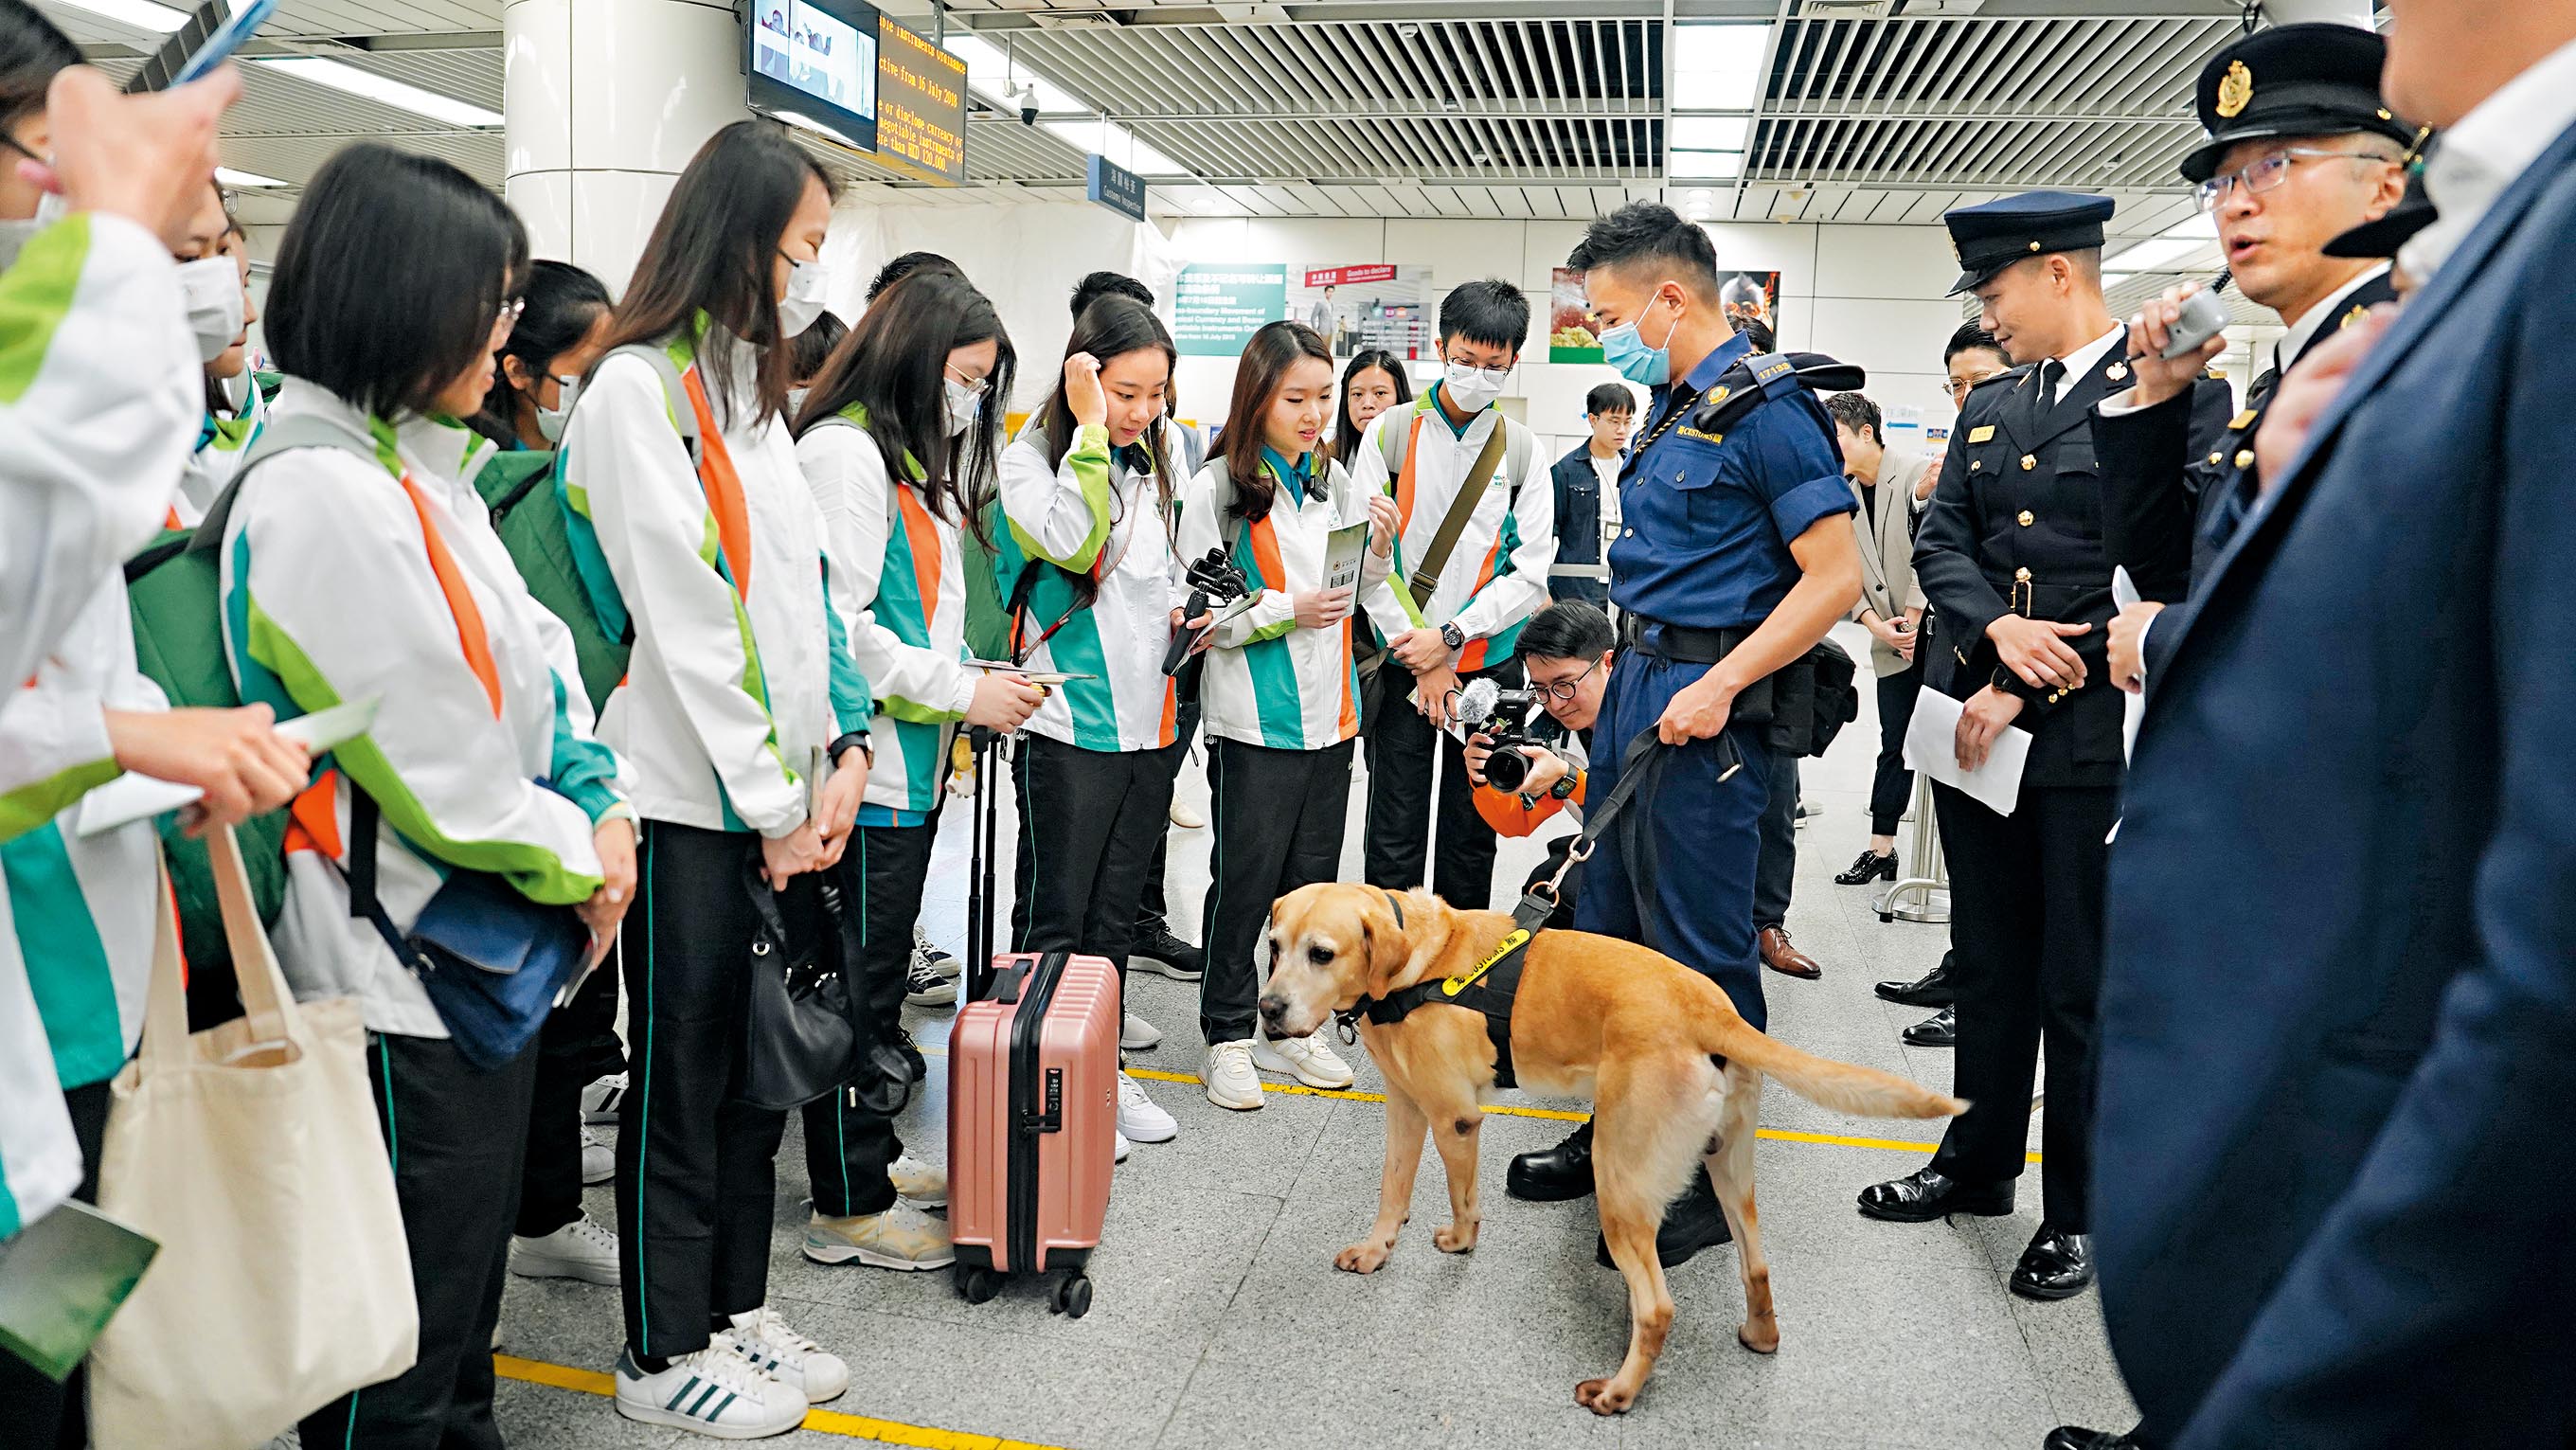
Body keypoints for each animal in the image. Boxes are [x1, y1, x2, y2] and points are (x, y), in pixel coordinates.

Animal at [1257, 886, 1958, 1422]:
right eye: (1274, 946)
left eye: (1322, 953)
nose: (1266, 1010)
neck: (1421, 962)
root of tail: (1713, 1012)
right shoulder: (1404, 1105)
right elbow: (1392, 1188)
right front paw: (1377, 1249)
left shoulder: (1452, 1116)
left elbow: (1462, 1196)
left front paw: (1460, 1242)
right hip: (1731, 1171)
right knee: (1756, 1266)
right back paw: (1760, 1335)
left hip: (1621, 1185)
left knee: (1657, 1308)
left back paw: (1618, 1392)